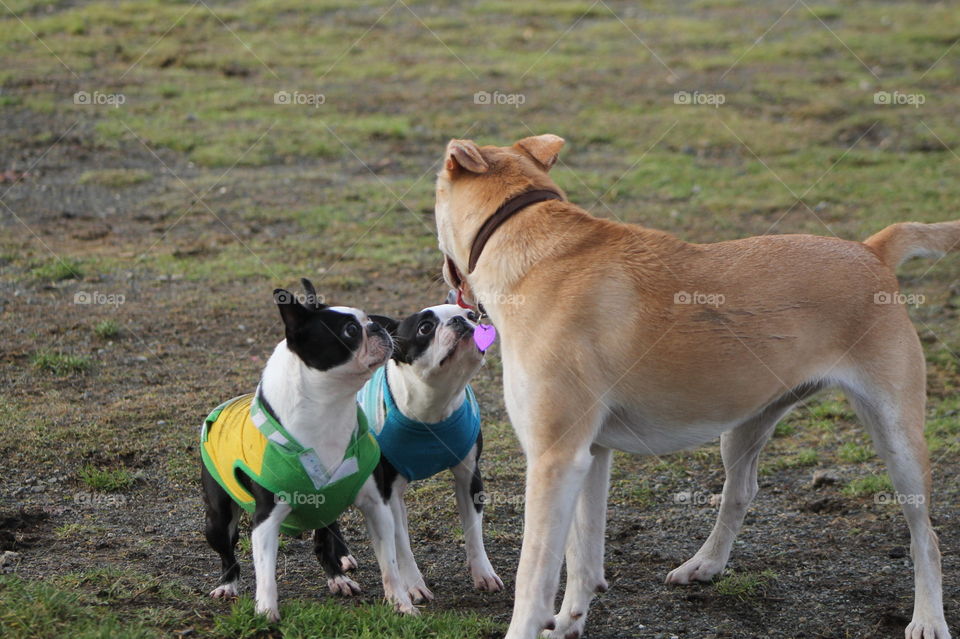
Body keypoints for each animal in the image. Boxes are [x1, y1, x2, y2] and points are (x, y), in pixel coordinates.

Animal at [201, 280, 422, 620]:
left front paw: (401, 603)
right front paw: (266, 611)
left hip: (327, 510)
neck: (329, 409)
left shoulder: (377, 506)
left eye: (368, 319)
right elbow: (266, 572)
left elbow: (390, 565)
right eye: (349, 330)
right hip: (217, 518)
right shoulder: (266, 520)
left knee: (323, 545)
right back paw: (227, 584)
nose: (377, 327)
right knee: (227, 550)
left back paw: (338, 578)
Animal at [318, 304, 506, 604]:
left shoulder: (469, 476)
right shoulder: (390, 491)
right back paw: (337, 577)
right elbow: (402, 545)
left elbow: (474, 531)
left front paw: (483, 573)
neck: (434, 403)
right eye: (425, 327)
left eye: (471, 316)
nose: (460, 320)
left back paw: (344, 557)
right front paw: (413, 586)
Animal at [436, 135, 952, 639]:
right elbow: (583, 558)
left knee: (926, 538)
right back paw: (705, 564)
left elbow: (535, 576)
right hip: (743, 426)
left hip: (898, 442)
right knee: (740, 493)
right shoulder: (590, 455)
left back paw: (928, 619)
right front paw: (568, 622)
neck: (530, 241)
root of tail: (870, 250)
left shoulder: (554, 459)